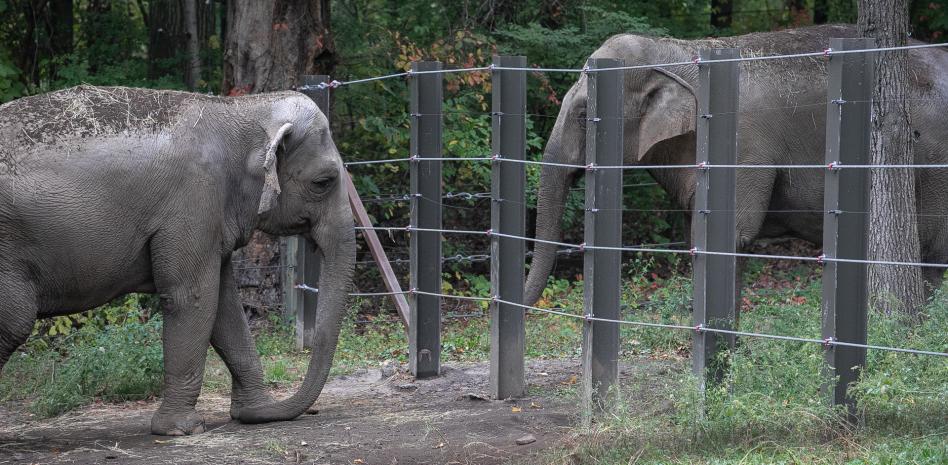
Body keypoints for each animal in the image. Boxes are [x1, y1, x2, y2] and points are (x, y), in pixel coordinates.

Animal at [0, 85, 355, 435]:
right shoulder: (193, 202)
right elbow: (192, 298)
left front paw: (256, 412)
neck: (240, 110)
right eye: (323, 182)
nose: (306, 411)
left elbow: (225, 306)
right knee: (16, 321)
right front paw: (182, 429)